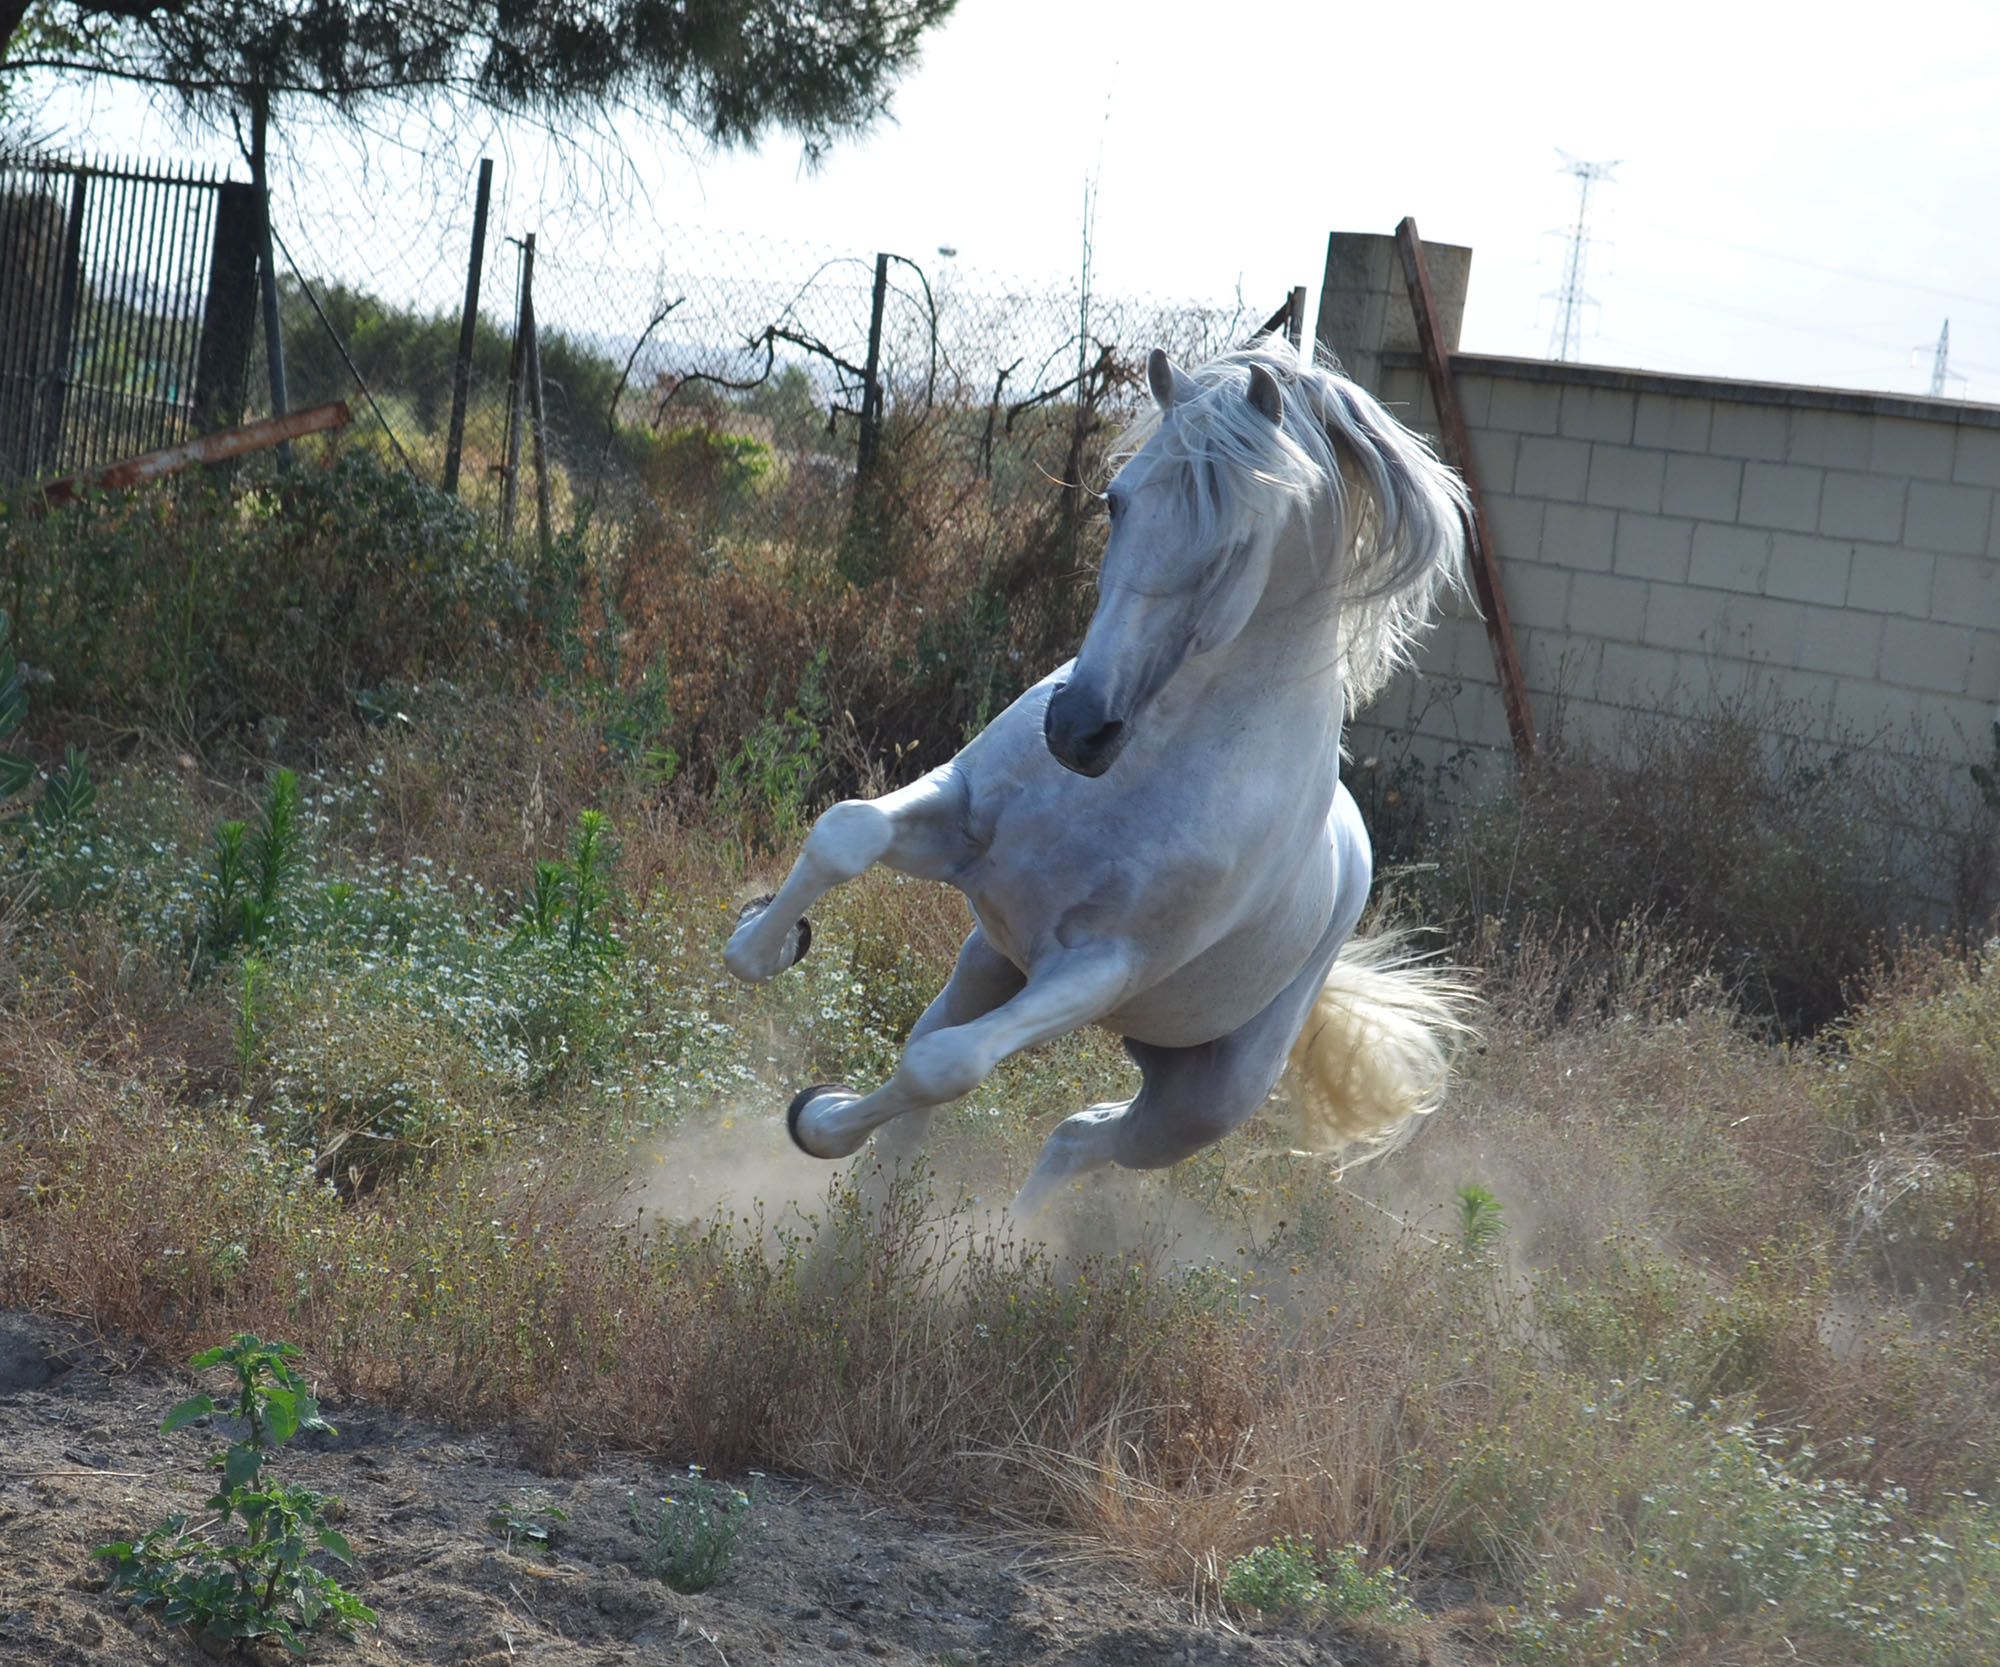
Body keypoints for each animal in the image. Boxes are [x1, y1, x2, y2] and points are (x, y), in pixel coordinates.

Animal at [728, 337, 1480, 1215]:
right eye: (1116, 501)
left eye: (1234, 544)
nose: (1078, 728)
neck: (1132, 774)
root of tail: (1354, 848)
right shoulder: (960, 823)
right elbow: (845, 830)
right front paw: (763, 941)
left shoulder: (1101, 966)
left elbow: (946, 1066)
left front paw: (817, 1118)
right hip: (991, 960)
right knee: (989, 1097)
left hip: (1200, 1100)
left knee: (1073, 1128)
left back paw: (1004, 1234)